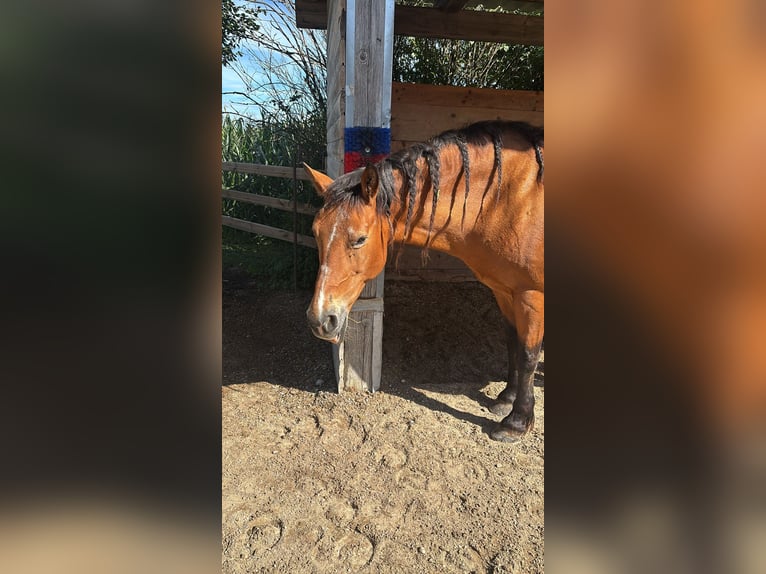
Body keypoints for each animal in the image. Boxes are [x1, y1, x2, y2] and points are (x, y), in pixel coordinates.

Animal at [304, 121, 544, 443]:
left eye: (360, 239)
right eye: (316, 233)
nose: (319, 320)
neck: (510, 197)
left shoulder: (531, 295)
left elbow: (528, 355)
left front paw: (517, 421)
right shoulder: (505, 290)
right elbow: (513, 344)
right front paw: (506, 399)